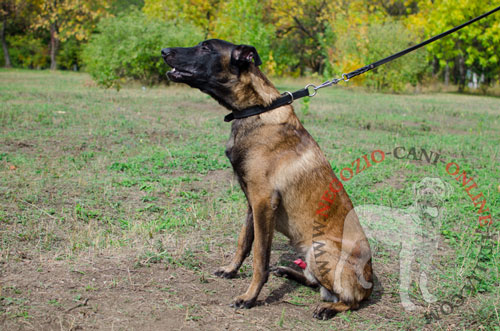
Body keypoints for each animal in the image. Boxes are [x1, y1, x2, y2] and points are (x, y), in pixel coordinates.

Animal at [162, 40, 374, 320]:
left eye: (206, 48)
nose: (164, 51)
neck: (257, 110)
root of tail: (371, 284)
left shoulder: (263, 202)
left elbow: (259, 257)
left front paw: (249, 297)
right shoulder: (251, 203)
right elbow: (243, 242)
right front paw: (230, 270)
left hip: (321, 248)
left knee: (350, 300)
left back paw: (329, 307)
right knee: (313, 281)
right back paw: (288, 272)